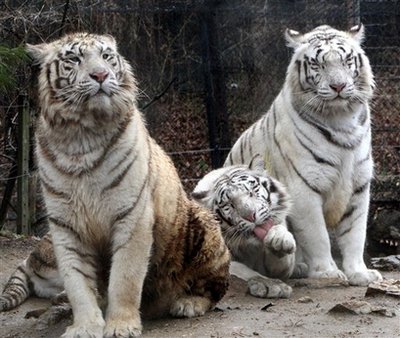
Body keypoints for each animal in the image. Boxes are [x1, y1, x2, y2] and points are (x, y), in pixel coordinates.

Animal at [0, 33, 230, 338]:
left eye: (107, 56)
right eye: (74, 59)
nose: (100, 75)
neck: (81, 136)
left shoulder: (132, 217)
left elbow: (125, 277)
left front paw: (121, 326)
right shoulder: (66, 226)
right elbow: (77, 283)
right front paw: (85, 327)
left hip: (204, 225)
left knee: (214, 290)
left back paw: (186, 303)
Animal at [192, 156, 296, 298]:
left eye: (251, 192)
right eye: (229, 204)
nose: (250, 216)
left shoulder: (283, 269)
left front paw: (279, 239)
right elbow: (240, 269)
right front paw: (271, 284)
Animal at [223, 25, 382, 286]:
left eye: (346, 60)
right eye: (318, 64)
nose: (338, 86)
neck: (341, 119)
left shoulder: (359, 186)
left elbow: (355, 233)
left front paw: (360, 273)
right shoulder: (303, 187)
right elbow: (317, 235)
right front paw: (327, 273)